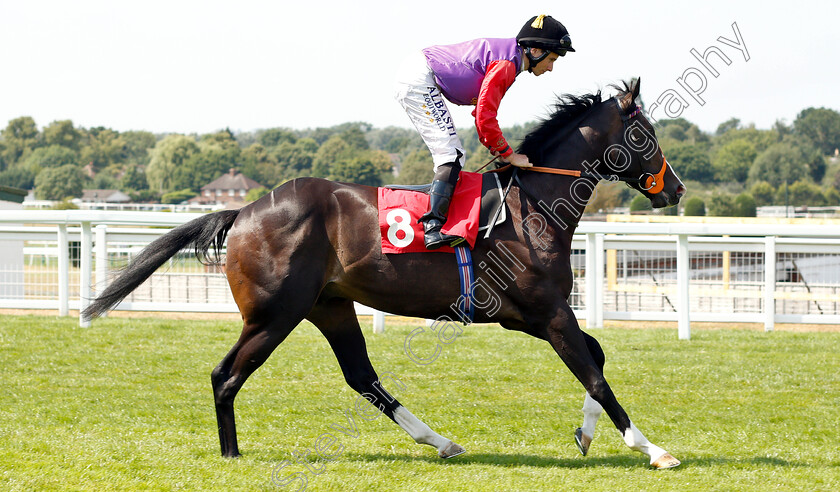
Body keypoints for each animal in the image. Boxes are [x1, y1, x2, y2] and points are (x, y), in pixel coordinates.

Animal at [83, 79, 688, 468]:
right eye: (647, 135)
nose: (677, 189)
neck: (533, 206)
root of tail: (245, 211)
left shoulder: (530, 315)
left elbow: (597, 359)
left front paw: (586, 435)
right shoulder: (546, 312)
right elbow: (595, 374)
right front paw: (652, 449)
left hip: (328, 306)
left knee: (361, 376)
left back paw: (440, 442)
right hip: (275, 314)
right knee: (225, 375)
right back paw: (231, 454)